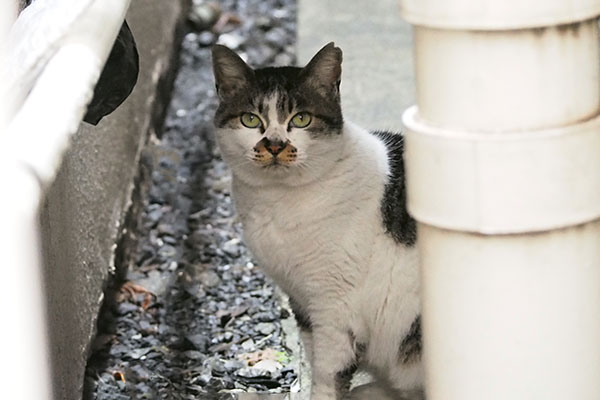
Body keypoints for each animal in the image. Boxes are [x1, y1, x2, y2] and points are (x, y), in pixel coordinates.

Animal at [211, 42, 422, 398]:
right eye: (251, 120)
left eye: (301, 119)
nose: (275, 144)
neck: (279, 203)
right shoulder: (301, 299)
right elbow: (313, 359)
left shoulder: (334, 306)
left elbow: (327, 374)